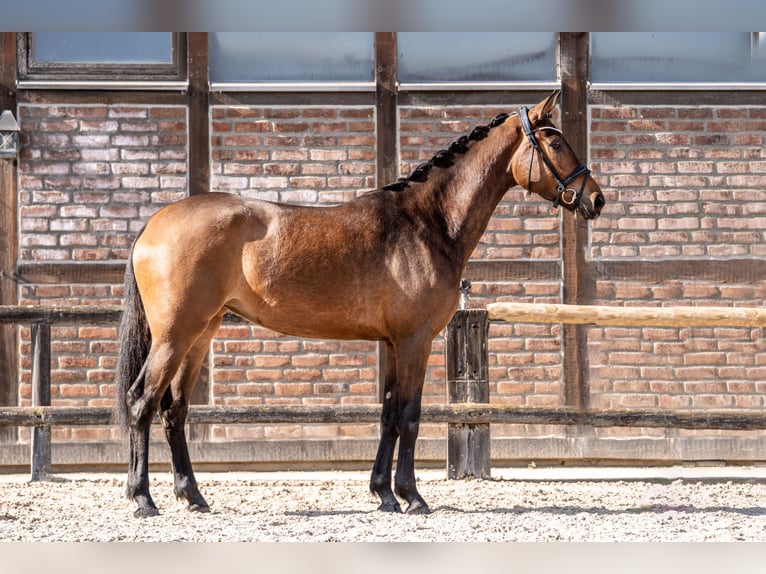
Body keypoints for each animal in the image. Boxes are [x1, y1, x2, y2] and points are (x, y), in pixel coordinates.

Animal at [114, 90, 608, 516]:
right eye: (556, 141)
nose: (596, 199)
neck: (427, 222)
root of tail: (154, 224)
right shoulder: (415, 341)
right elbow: (409, 415)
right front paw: (413, 497)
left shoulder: (391, 343)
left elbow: (388, 414)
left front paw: (384, 494)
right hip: (174, 336)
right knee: (141, 402)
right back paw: (143, 499)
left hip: (201, 334)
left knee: (174, 409)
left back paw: (193, 497)